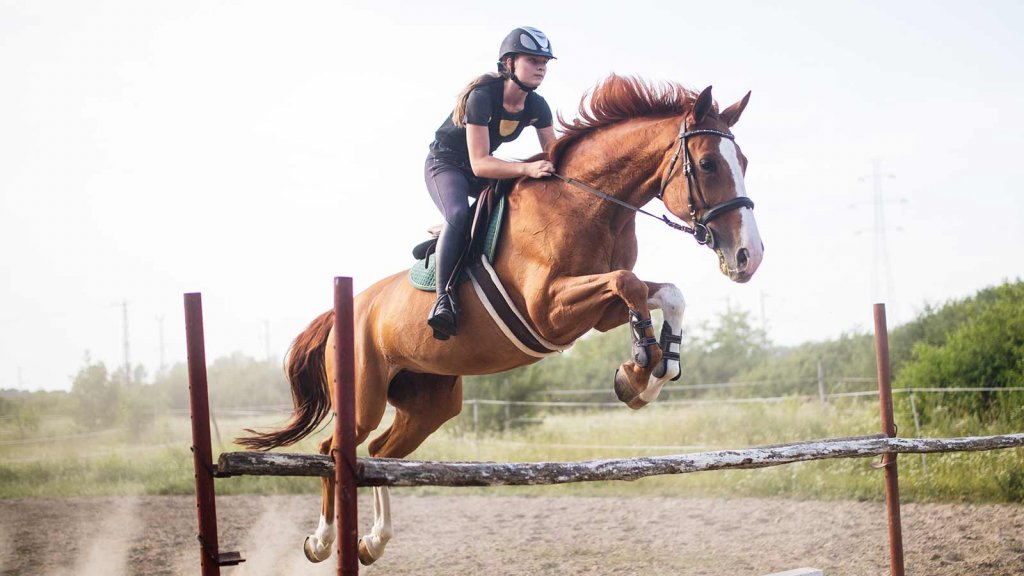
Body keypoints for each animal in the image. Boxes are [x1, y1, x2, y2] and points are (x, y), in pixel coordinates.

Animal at [237, 76, 761, 565]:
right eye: (709, 164)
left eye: (744, 162)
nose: (748, 257)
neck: (589, 205)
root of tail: (346, 308)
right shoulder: (548, 309)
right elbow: (629, 283)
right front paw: (639, 368)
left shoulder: (597, 312)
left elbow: (663, 292)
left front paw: (647, 372)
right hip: (363, 395)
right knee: (332, 450)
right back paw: (323, 541)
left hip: (431, 402)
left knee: (382, 454)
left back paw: (372, 542)